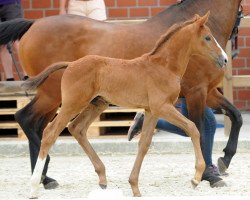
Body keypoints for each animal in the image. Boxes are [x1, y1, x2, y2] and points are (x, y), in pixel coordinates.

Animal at [0, 0, 243, 187]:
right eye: (207, 38)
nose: (225, 58)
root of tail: (34, 24)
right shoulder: (192, 94)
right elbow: (198, 128)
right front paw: (206, 174)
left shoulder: (200, 94)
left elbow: (235, 117)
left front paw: (224, 160)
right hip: (57, 97)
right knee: (34, 122)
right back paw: (41, 176)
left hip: (76, 101)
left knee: (50, 125)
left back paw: (50, 176)